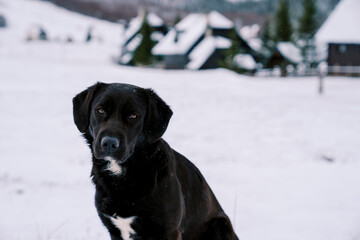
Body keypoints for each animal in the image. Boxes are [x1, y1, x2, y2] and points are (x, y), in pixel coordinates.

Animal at [72, 83, 239, 240]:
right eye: (100, 110)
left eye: (133, 115)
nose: (109, 143)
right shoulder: (114, 230)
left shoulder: (169, 231)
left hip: (220, 225)